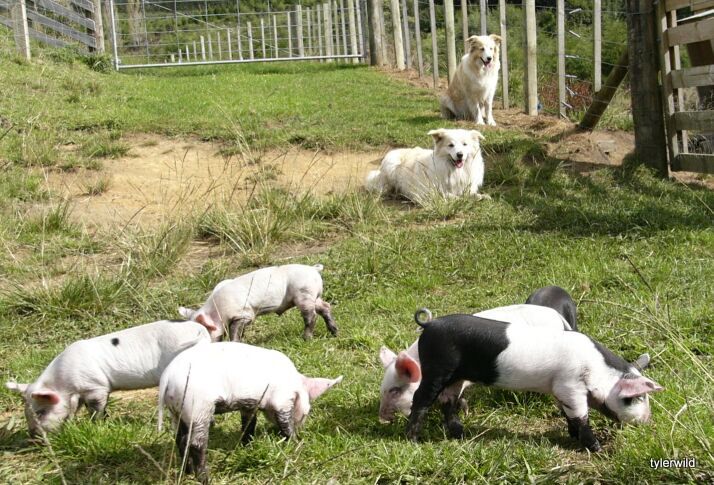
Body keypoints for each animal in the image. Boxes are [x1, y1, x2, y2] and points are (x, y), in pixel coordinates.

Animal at [5, 320, 211, 437]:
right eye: (26, 413)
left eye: (41, 412)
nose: (34, 437)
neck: (64, 383)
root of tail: (201, 331)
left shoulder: (95, 386)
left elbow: (96, 408)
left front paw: (97, 424)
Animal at [158, 341, 342, 483]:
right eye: (306, 413)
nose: (302, 428)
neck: (296, 384)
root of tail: (167, 378)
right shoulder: (282, 400)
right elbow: (285, 424)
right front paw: (297, 443)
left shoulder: (249, 405)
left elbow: (249, 424)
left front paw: (247, 446)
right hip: (198, 407)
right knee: (196, 444)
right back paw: (205, 479)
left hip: (179, 411)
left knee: (180, 439)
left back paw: (187, 472)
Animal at [178, 263, 337, 342]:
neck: (218, 310)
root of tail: (313, 269)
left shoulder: (245, 313)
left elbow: (235, 331)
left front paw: (235, 342)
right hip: (313, 295)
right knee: (325, 307)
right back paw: (334, 332)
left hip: (304, 293)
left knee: (312, 316)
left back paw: (306, 339)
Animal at [405, 312, 663, 451]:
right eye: (636, 397)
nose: (648, 421)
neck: (597, 372)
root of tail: (429, 325)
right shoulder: (570, 386)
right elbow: (581, 416)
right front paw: (596, 448)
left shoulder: (559, 389)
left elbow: (568, 415)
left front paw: (571, 436)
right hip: (437, 367)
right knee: (421, 399)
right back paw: (414, 439)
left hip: (456, 377)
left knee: (448, 400)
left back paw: (460, 434)